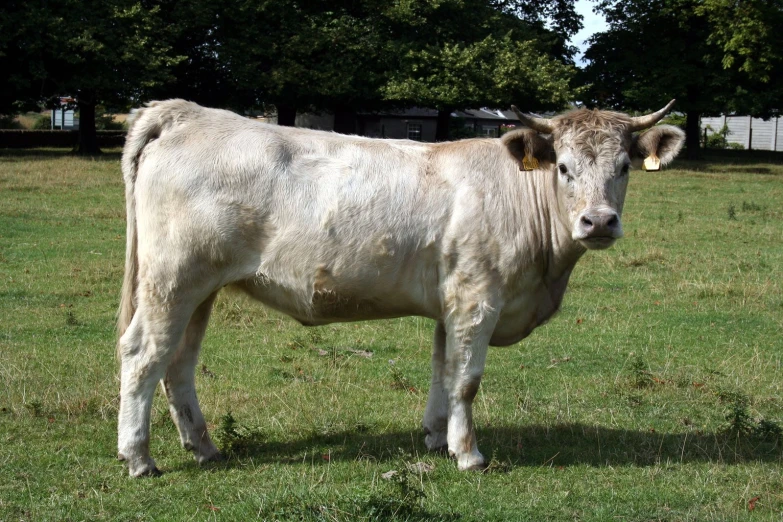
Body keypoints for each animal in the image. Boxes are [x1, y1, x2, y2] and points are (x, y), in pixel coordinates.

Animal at [118, 98, 688, 476]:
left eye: (624, 167)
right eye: (564, 168)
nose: (599, 222)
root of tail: (187, 112)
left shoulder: (450, 304)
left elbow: (442, 371)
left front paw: (437, 437)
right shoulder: (477, 299)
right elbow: (467, 380)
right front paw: (469, 454)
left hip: (202, 288)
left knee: (179, 363)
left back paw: (203, 447)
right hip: (172, 280)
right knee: (143, 354)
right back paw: (139, 457)